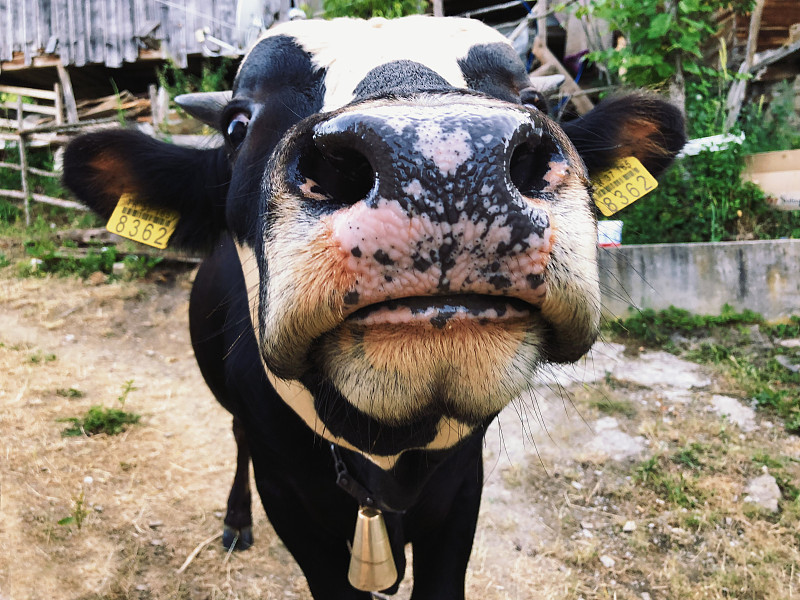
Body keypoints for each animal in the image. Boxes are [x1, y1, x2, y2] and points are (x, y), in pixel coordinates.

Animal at [62, 16, 688, 600]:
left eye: (533, 100)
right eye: (238, 125)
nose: (443, 156)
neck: (386, 452)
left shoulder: (462, 487)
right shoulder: (287, 496)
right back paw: (236, 522)